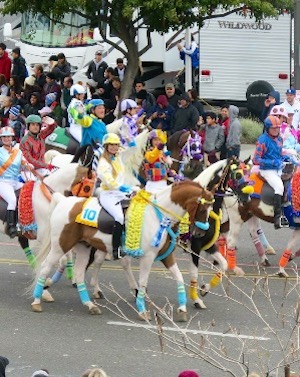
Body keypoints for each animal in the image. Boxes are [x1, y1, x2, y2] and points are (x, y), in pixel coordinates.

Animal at [29, 179, 214, 318]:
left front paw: (182, 308)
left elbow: (179, 277)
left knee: (79, 273)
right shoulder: (148, 257)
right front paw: (142, 310)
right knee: (45, 267)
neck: (158, 215)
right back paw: (37, 300)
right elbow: (143, 282)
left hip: (84, 248)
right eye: (203, 208)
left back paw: (89, 305)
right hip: (61, 246)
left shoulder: (166, 256)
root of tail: (63, 200)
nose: (200, 233)